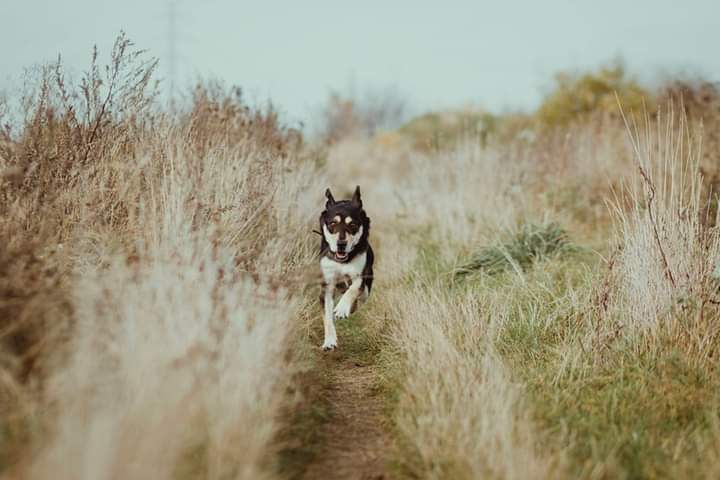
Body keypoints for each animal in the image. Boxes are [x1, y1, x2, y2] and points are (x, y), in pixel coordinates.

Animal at [318, 186, 374, 350]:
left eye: (352, 225)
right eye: (332, 223)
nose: (341, 244)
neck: (342, 261)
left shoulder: (359, 277)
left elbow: (353, 290)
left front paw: (342, 309)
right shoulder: (327, 285)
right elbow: (327, 317)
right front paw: (329, 341)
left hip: (367, 287)